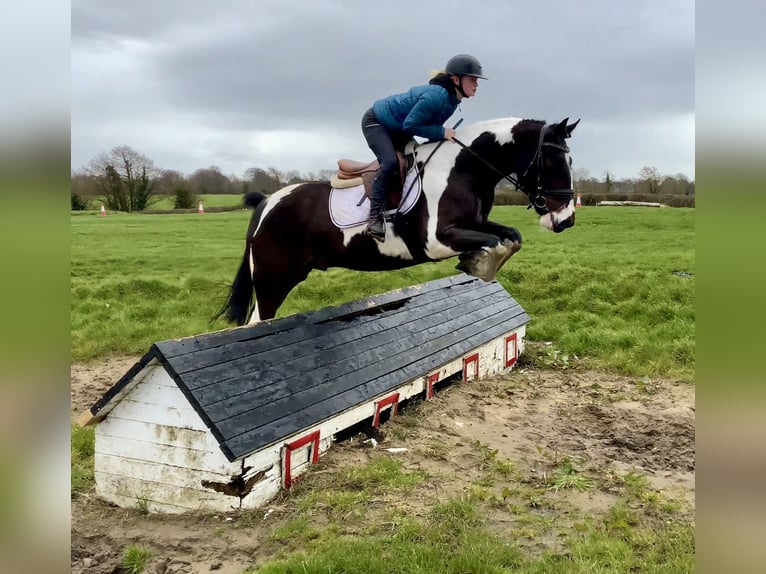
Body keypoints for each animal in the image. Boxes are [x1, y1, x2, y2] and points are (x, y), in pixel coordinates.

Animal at [217, 116, 579, 325]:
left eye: (570, 159)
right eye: (551, 158)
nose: (566, 219)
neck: (464, 168)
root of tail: (267, 202)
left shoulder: (476, 224)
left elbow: (511, 236)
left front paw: (478, 264)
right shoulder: (437, 241)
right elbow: (493, 242)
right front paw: (479, 264)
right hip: (272, 279)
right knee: (258, 321)